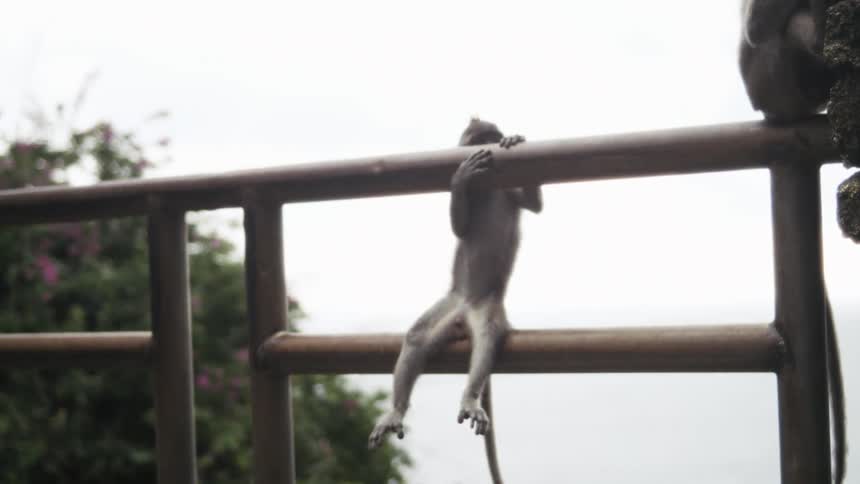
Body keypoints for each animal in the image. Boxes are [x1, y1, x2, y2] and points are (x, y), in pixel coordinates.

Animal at [368, 118, 542, 484]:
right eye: (469, 139)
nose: (471, 143)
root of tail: (465, 314)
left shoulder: (508, 190)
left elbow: (533, 205)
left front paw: (514, 139)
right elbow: (460, 228)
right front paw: (460, 177)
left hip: (487, 308)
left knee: (487, 336)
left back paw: (470, 397)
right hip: (452, 302)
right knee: (417, 337)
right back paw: (396, 409)